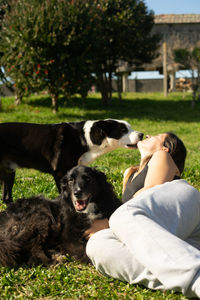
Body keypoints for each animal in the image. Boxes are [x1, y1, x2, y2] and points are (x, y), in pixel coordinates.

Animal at [0, 120, 143, 204]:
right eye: (123, 130)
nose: (141, 134)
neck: (84, 138)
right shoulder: (60, 173)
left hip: (9, 172)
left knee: (6, 198)